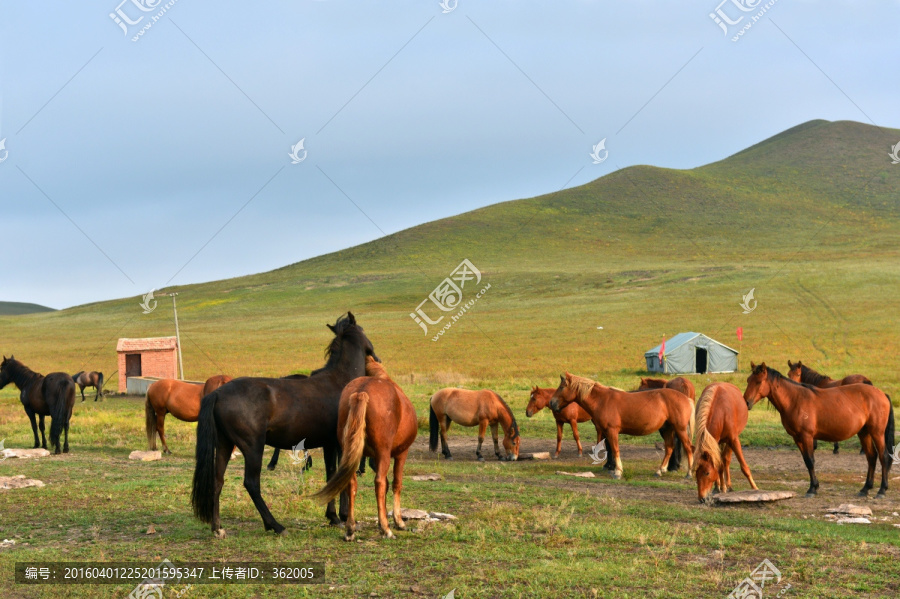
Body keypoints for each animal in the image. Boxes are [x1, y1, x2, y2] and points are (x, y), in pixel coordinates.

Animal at [192, 314, 378, 540]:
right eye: (364, 330)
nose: (377, 358)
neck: (339, 380)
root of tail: (218, 393)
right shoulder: (340, 444)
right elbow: (343, 476)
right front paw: (342, 517)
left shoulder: (329, 444)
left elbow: (331, 473)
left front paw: (333, 517)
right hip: (253, 447)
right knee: (251, 484)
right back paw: (275, 525)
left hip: (224, 445)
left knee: (218, 481)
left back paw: (217, 528)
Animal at [312, 360, 416, 544]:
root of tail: (361, 392)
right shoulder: (401, 453)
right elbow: (396, 484)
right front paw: (398, 521)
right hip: (383, 453)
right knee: (379, 483)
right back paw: (386, 529)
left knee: (352, 483)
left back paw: (350, 529)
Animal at [548, 372, 696, 480]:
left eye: (562, 387)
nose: (551, 403)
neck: (602, 400)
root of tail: (686, 398)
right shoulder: (606, 432)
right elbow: (611, 450)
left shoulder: (612, 431)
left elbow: (615, 450)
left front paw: (617, 472)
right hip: (667, 429)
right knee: (669, 448)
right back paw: (660, 470)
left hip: (680, 429)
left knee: (688, 447)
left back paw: (688, 473)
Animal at [744, 364, 892, 500]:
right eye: (748, 380)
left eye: (758, 382)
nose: (746, 402)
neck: (795, 400)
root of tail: (882, 394)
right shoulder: (797, 438)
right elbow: (806, 461)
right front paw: (814, 486)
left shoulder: (807, 436)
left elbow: (810, 461)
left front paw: (812, 489)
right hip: (864, 433)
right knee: (871, 457)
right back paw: (865, 488)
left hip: (877, 433)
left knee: (883, 456)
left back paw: (882, 490)